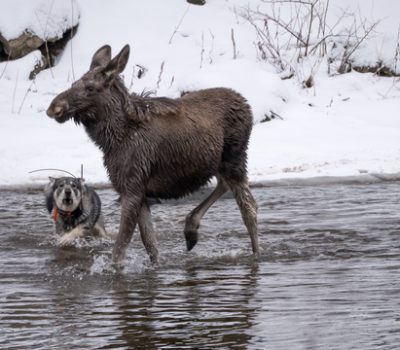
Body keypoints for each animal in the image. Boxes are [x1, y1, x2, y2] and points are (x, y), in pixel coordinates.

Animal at [47, 44, 260, 268]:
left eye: (90, 88)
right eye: (74, 83)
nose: (54, 107)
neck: (111, 139)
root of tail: (246, 105)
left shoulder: (132, 189)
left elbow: (119, 250)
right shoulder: (139, 192)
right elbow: (150, 243)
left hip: (234, 158)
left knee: (249, 207)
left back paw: (255, 254)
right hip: (218, 163)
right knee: (224, 185)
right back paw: (191, 230)